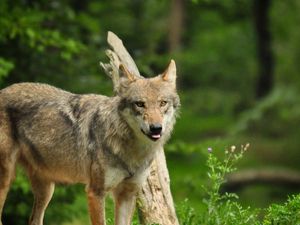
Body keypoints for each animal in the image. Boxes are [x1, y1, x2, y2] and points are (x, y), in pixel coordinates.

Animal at [0, 59, 178, 225]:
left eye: (163, 103)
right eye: (140, 104)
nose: (156, 128)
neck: (131, 150)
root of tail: (3, 90)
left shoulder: (127, 195)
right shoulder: (95, 192)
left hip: (47, 189)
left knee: (33, 220)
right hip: (7, 179)